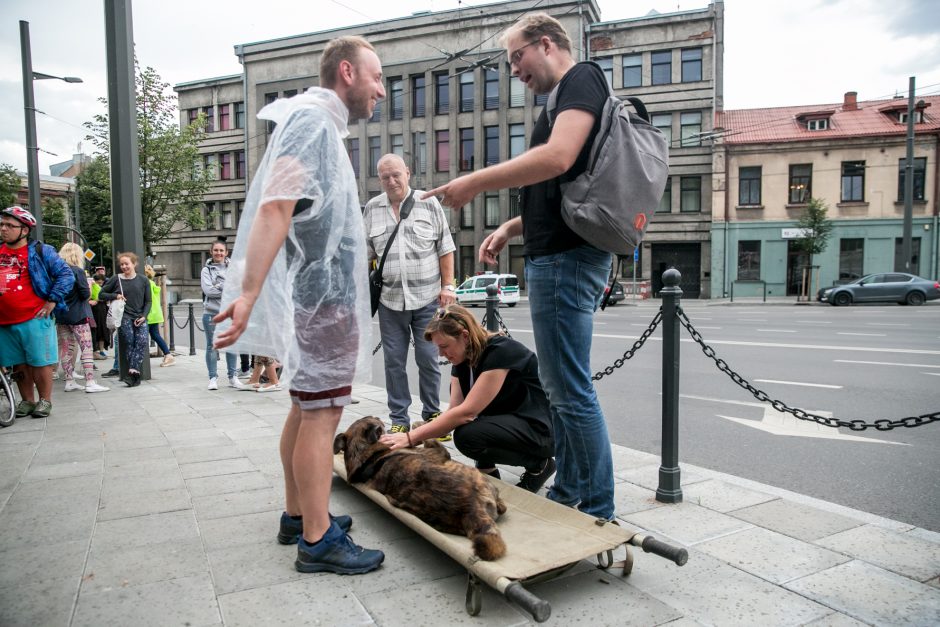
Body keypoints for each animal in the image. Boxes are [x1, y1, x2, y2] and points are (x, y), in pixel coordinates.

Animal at [330, 418, 506, 560]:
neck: (367, 455)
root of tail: (470, 507)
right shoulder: (439, 451)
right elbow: (425, 434)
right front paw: (419, 426)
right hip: (479, 478)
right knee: (502, 506)